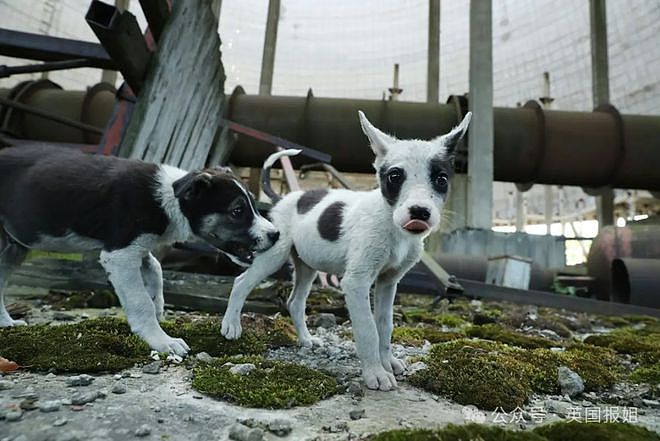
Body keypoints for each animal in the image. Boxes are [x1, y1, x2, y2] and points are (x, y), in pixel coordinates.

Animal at [0, 144, 278, 354]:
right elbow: (139, 300)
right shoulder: (120, 254)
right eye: (237, 211)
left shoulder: (138, 246)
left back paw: (6, 323)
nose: (275, 235)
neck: (170, 198)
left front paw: (158, 304)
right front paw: (161, 340)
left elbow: (155, 267)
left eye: (254, 206)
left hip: (13, 247)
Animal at [224, 110, 472, 388]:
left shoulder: (389, 282)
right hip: (274, 255)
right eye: (395, 176)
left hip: (307, 265)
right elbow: (368, 329)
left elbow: (384, 326)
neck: (392, 227)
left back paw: (306, 340)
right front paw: (375, 373)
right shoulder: (356, 282)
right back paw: (231, 325)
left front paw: (388, 362)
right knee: (242, 282)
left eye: (441, 179)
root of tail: (284, 198)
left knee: (295, 302)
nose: (419, 212)